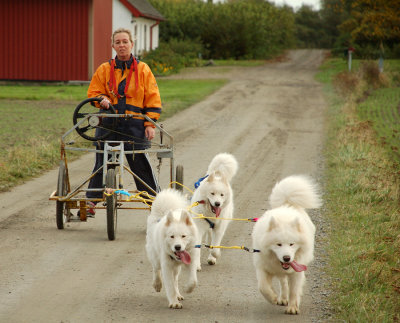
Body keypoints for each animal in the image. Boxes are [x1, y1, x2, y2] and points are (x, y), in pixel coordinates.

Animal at [253, 176, 322, 316]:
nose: (286, 258)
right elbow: (262, 287)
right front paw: (273, 297)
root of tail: (287, 204)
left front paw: (292, 307)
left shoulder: (297, 271)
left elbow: (294, 290)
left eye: (292, 244)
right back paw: (283, 298)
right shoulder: (262, 267)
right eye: (278, 244)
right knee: (283, 283)